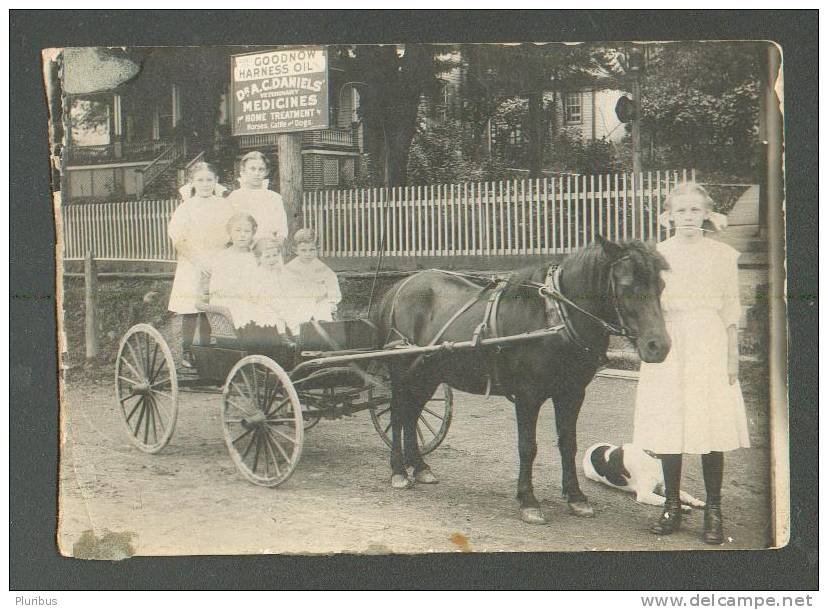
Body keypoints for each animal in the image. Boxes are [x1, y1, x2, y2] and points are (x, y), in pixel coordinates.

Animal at [376, 235, 672, 520]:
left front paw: (576, 497)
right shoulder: (528, 396)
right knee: (398, 416)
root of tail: (398, 288)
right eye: (626, 286)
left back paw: (420, 467)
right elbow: (528, 447)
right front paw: (528, 500)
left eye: (660, 285)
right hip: (403, 375)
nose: (658, 346)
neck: (554, 317)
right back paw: (399, 471)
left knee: (412, 416)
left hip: (428, 375)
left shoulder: (573, 393)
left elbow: (568, 443)